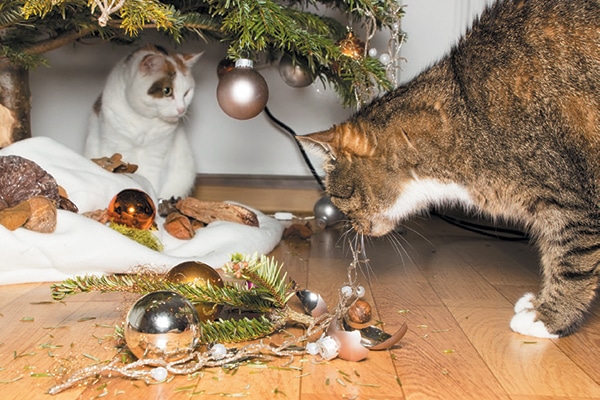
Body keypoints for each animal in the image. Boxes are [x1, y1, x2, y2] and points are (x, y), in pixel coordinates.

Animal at [84, 45, 202, 198]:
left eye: (187, 93)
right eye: (167, 90)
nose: (182, 109)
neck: (145, 121)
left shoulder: (157, 154)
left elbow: (151, 181)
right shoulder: (118, 145)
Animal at [300, 0, 600, 338]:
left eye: (339, 199)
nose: (353, 228)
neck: (462, 115)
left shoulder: (569, 201)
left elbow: (570, 261)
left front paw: (548, 318)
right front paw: (540, 305)